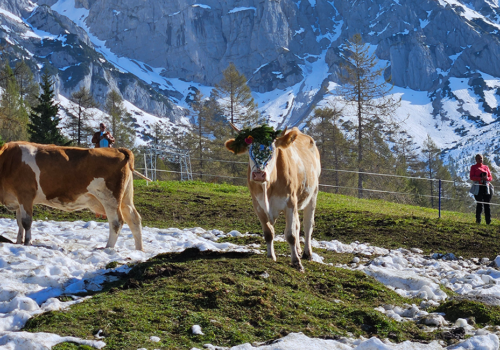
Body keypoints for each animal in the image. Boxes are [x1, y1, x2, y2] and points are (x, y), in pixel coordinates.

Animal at [0, 141, 146, 250]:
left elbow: (26, 221)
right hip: (125, 199)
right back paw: (139, 250)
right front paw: (19, 242)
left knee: (116, 221)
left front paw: (27, 243)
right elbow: (19, 222)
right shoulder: (17, 199)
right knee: (134, 219)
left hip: (110, 197)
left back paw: (108, 247)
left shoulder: (25, 194)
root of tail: (118, 150)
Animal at [226, 124, 320, 272]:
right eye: (249, 148)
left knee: (308, 224)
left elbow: (290, 235)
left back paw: (307, 253)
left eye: (273, 148)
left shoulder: (290, 202)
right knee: (298, 224)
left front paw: (296, 262)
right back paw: (299, 250)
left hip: (313, 193)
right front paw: (271, 256)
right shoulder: (258, 205)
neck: (268, 187)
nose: (259, 174)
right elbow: (269, 232)